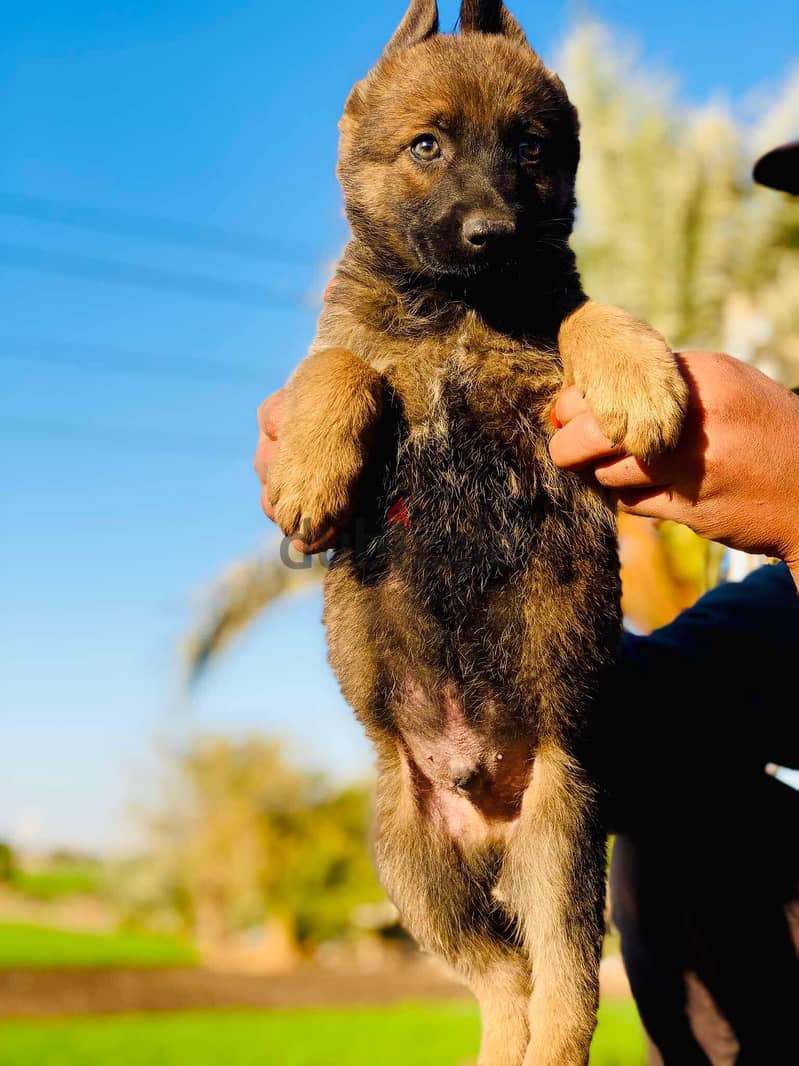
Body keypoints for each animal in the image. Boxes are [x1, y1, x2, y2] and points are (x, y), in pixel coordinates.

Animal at [269, 4, 690, 1061]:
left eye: (529, 148)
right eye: (427, 146)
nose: (492, 230)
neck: (458, 306)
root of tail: (487, 809)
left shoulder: (551, 347)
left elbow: (588, 310)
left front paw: (638, 375)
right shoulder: (347, 343)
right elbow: (337, 364)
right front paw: (309, 464)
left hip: (563, 847)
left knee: (560, 991)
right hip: (410, 857)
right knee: (500, 977)